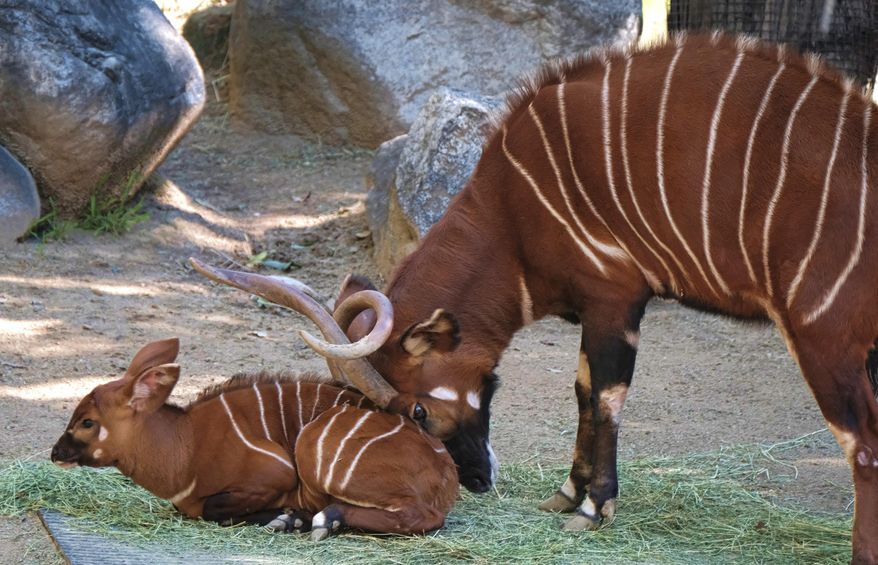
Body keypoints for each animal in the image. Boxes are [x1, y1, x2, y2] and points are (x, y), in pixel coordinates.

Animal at [50, 338, 458, 540]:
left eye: (87, 422)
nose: (56, 452)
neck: (186, 446)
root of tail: (445, 473)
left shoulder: (276, 474)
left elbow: (213, 509)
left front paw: (286, 519)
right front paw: (288, 519)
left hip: (314, 448)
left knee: (424, 516)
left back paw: (323, 520)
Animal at [192, 32, 878, 562]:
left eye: (418, 411)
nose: (474, 481)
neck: (513, 210)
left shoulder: (616, 300)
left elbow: (605, 397)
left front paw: (593, 508)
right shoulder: (596, 312)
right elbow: (581, 391)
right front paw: (567, 494)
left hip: (824, 338)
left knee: (862, 443)